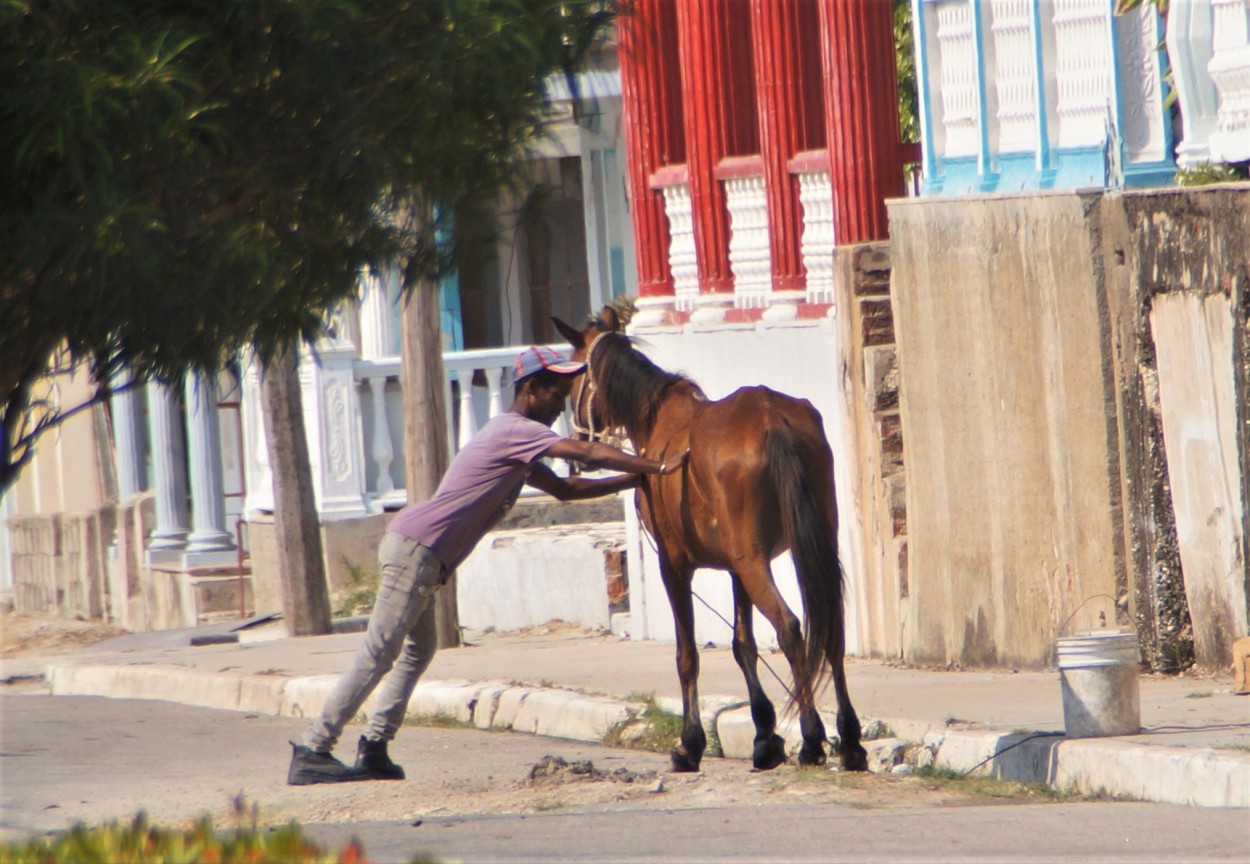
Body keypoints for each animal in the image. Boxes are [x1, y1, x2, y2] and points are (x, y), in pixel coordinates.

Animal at [557, 308, 870, 770]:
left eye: (574, 380)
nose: (577, 444)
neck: (659, 420)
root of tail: (771, 418)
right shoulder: (738, 569)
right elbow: (743, 644)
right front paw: (764, 736)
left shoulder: (674, 565)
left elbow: (687, 654)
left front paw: (690, 743)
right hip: (805, 547)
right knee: (831, 628)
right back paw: (849, 740)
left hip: (755, 562)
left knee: (790, 628)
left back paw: (813, 738)